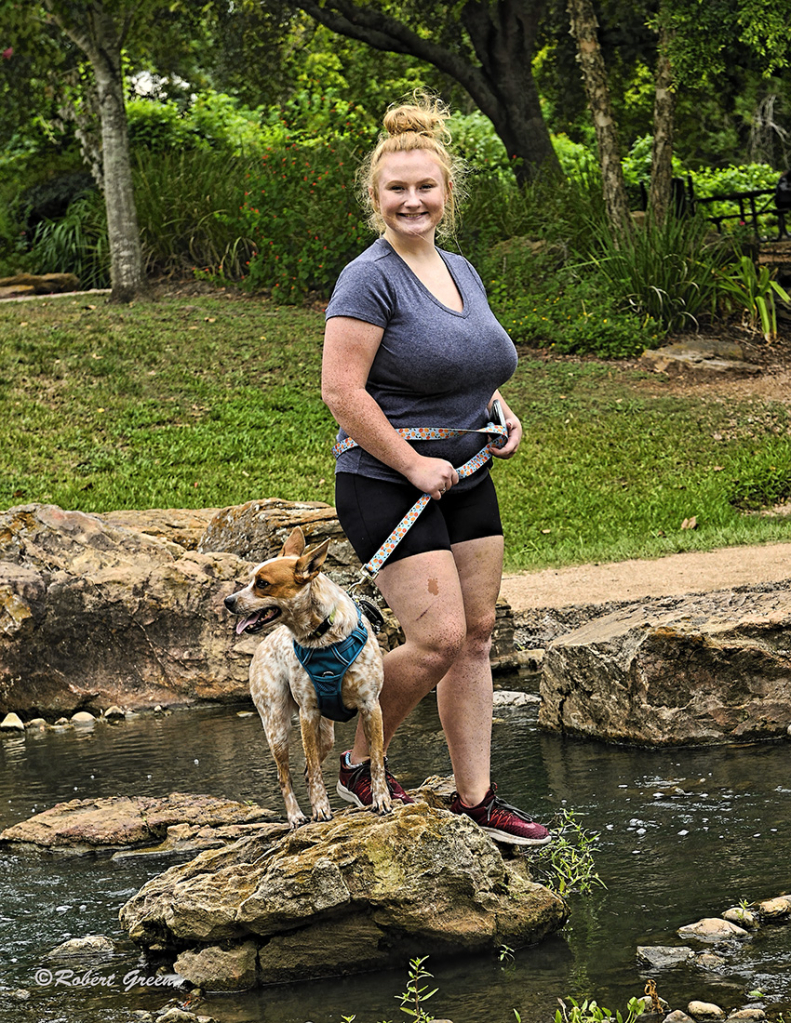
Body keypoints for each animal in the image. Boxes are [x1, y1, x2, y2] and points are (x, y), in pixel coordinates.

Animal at [224, 523, 390, 826]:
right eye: (250, 579)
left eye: (262, 583)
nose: (228, 601)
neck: (322, 636)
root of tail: (263, 645)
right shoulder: (307, 713)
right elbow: (313, 769)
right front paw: (321, 808)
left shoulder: (371, 705)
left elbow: (375, 759)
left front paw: (382, 799)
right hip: (277, 728)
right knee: (285, 776)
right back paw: (296, 816)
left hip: (326, 734)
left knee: (307, 767)